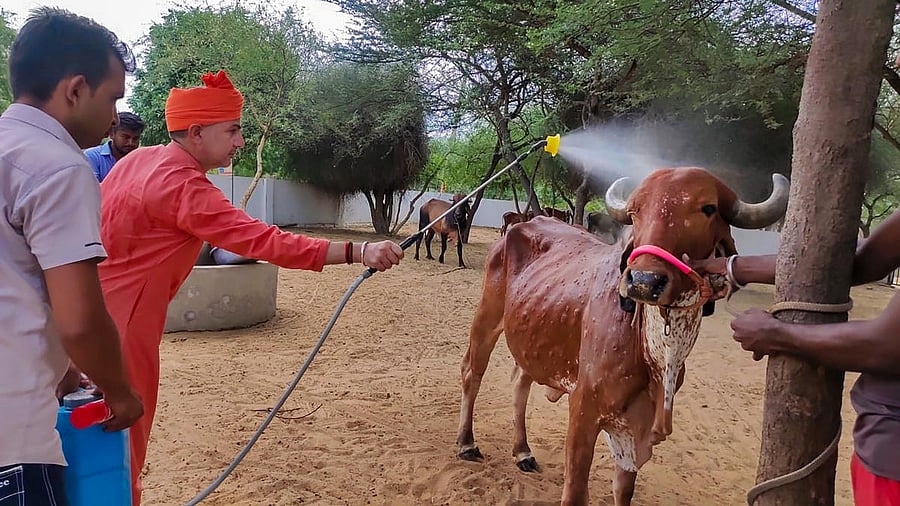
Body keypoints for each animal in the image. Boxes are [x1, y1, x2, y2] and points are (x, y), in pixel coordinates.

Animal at [456, 167, 789, 505]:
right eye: (635, 211)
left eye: (708, 208)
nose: (644, 280)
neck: (656, 357)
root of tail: (521, 224)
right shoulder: (583, 410)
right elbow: (575, 491)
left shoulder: (635, 428)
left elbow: (624, 489)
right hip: (487, 316)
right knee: (472, 372)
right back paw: (467, 443)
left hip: (533, 336)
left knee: (520, 384)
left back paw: (522, 451)